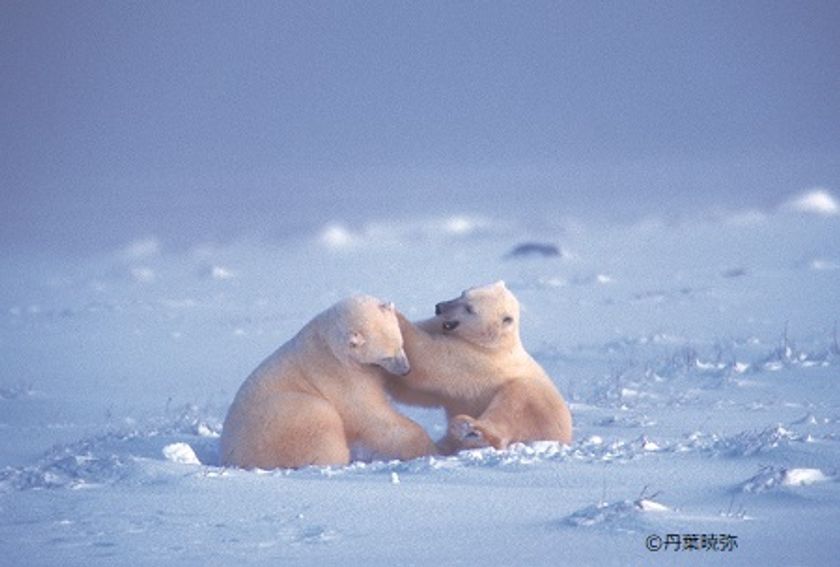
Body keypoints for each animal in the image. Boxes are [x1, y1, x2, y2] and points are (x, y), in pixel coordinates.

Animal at [220, 298, 436, 470]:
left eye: (401, 345)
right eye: (386, 356)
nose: (406, 369)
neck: (329, 343)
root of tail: (230, 457)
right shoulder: (341, 376)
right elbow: (369, 415)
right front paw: (424, 445)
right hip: (284, 418)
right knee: (321, 419)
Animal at [386, 282, 572, 454]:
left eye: (470, 309)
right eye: (462, 293)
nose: (439, 307)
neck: (494, 343)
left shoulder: (474, 359)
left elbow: (427, 364)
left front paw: (395, 316)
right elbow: (414, 391)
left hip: (539, 408)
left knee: (516, 402)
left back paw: (471, 430)